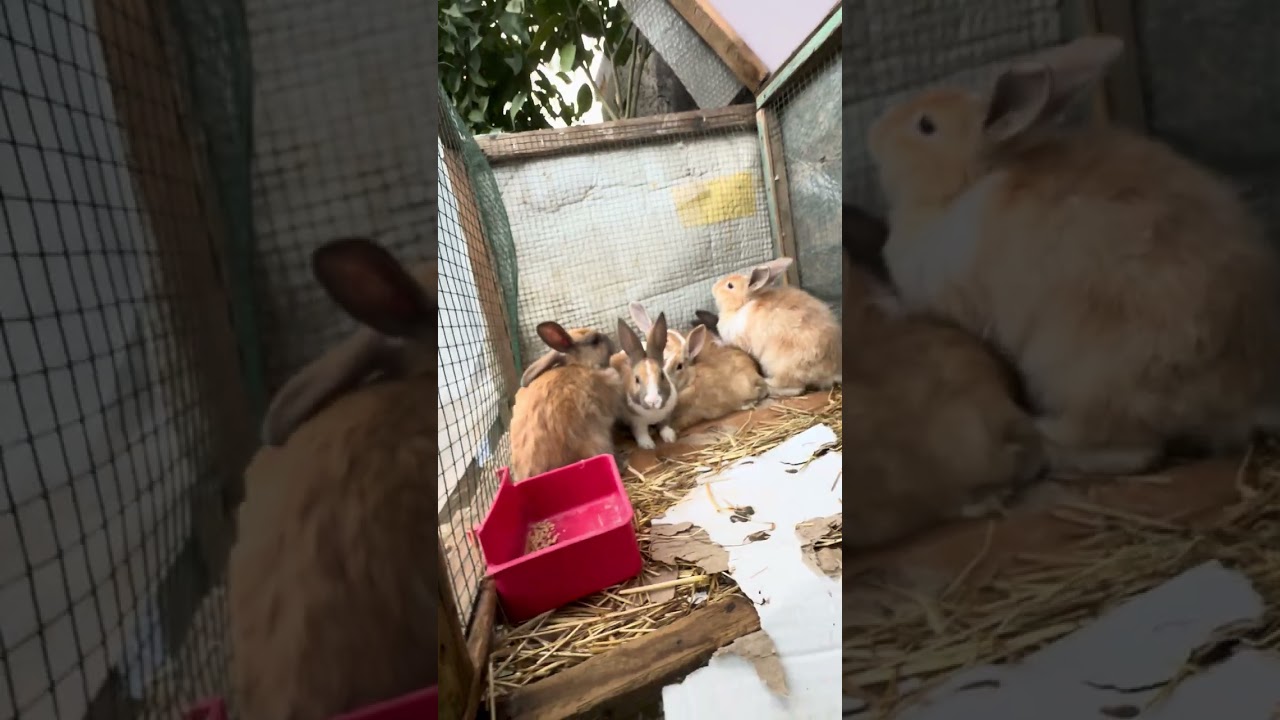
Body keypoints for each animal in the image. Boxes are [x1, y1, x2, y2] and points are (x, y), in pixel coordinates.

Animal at [615, 312, 680, 449]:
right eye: (636, 379)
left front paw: (670, 437)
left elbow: (664, 425)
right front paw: (648, 445)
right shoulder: (636, 422)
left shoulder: (667, 414)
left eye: (662, 375)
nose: (653, 401)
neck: (653, 413)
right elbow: (641, 433)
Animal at [711, 257, 843, 397]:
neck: (742, 305)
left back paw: (767, 384)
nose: (713, 287)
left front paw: (717, 342)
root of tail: (832, 371)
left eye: (730, 286)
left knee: (796, 388)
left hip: (779, 366)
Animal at [866, 33, 1280, 477]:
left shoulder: (949, 299)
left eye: (926, 126)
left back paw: (1043, 435)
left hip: (1084, 379)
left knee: (1137, 451)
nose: (875, 131)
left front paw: (885, 303)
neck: (961, 188)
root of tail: (1247, 397)